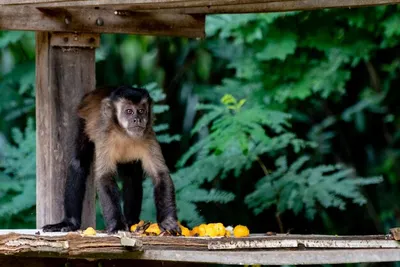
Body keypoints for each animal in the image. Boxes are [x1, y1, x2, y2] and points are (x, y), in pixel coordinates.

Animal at [41, 85, 180, 234]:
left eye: (141, 111)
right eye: (129, 111)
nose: (137, 119)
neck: (124, 134)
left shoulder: (148, 136)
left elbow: (160, 175)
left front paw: (167, 221)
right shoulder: (105, 138)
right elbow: (104, 177)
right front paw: (117, 225)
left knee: (132, 175)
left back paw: (132, 221)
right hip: (82, 120)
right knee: (79, 164)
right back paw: (69, 223)